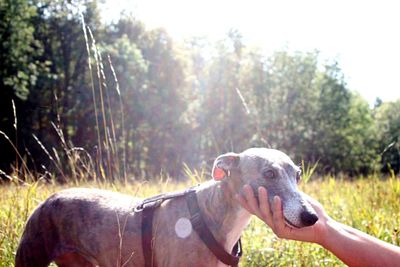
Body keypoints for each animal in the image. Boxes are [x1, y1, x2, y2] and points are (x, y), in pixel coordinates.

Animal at [15, 148, 318, 266]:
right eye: (269, 173)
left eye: (297, 174)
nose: (312, 217)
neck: (208, 216)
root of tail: (48, 199)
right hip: (30, 255)